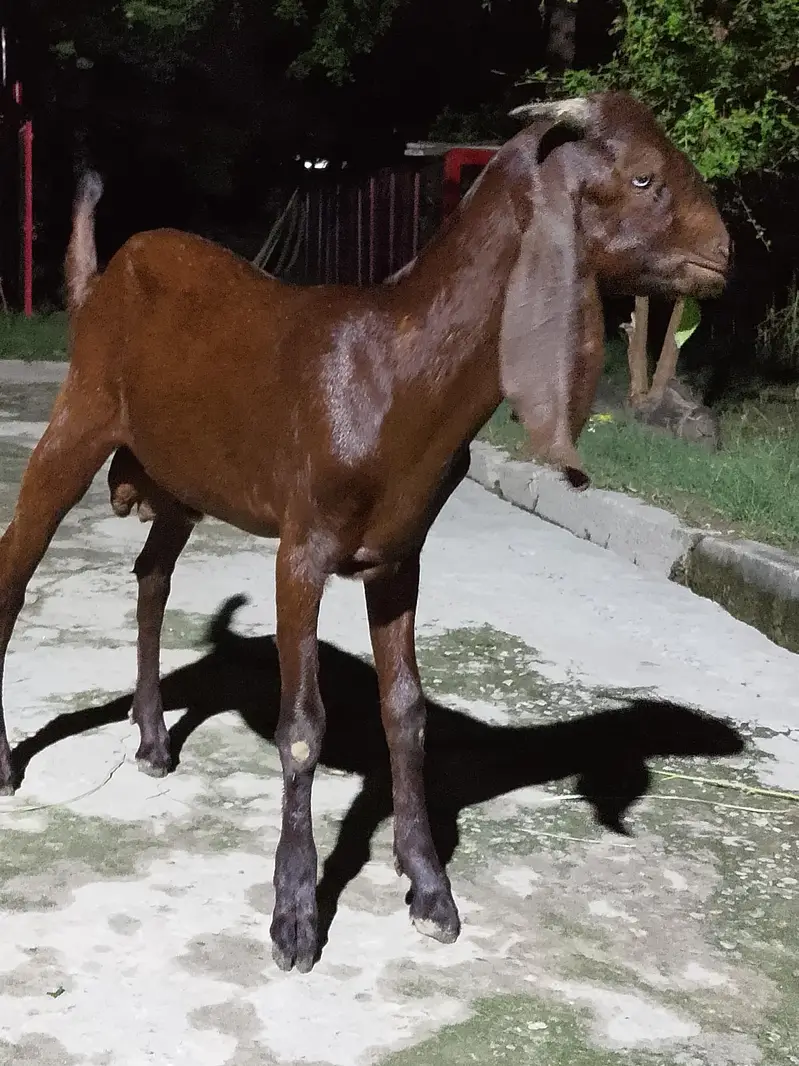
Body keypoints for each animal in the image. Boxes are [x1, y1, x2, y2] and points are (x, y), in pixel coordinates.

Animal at [0, 92, 729, 972]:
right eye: (644, 175)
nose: (722, 253)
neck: (394, 366)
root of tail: (104, 279)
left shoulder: (398, 555)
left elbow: (406, 711)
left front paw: (429, 889)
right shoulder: (302, 548)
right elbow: (302, 726)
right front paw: (294, 916)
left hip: (179, 480)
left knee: (150, 576)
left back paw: (151, 740)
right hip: (76, 420)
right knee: (16, 567)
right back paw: (7, 761)